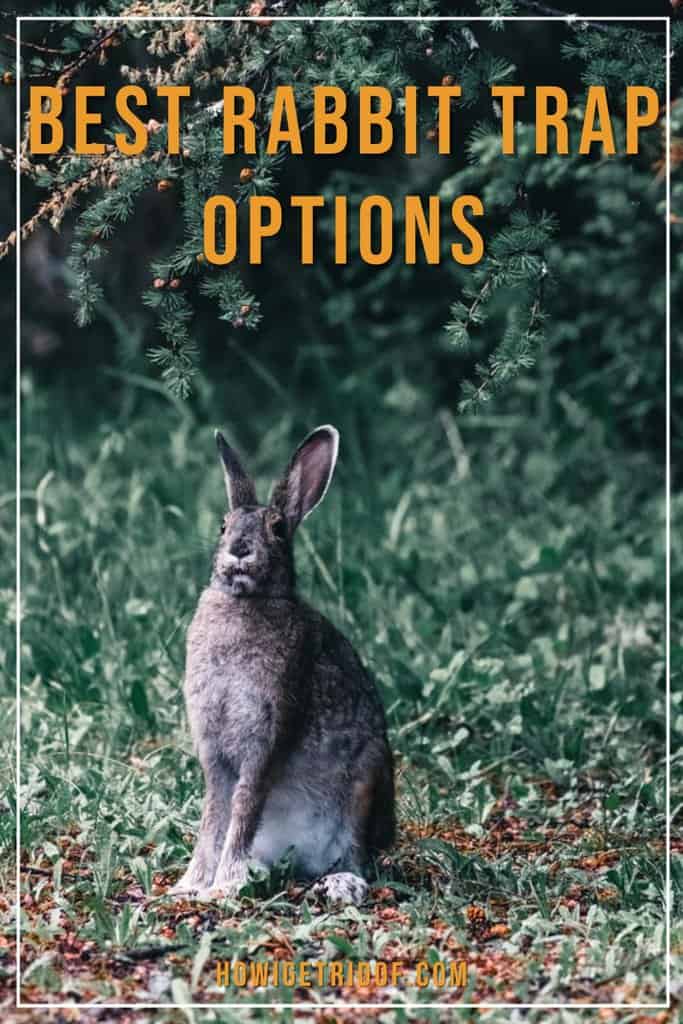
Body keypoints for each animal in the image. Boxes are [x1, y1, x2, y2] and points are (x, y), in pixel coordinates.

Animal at [171, 425, 395, 905]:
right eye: (223, 525)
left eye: (276, 529)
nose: (239, 549)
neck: (246, 601)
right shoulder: (214, 751)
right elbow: (214, 817)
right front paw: (191, 885)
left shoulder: (268, 734)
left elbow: (243, 808)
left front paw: (223, 886)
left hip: (365, 783)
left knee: (355, 856)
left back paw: (341, 883)